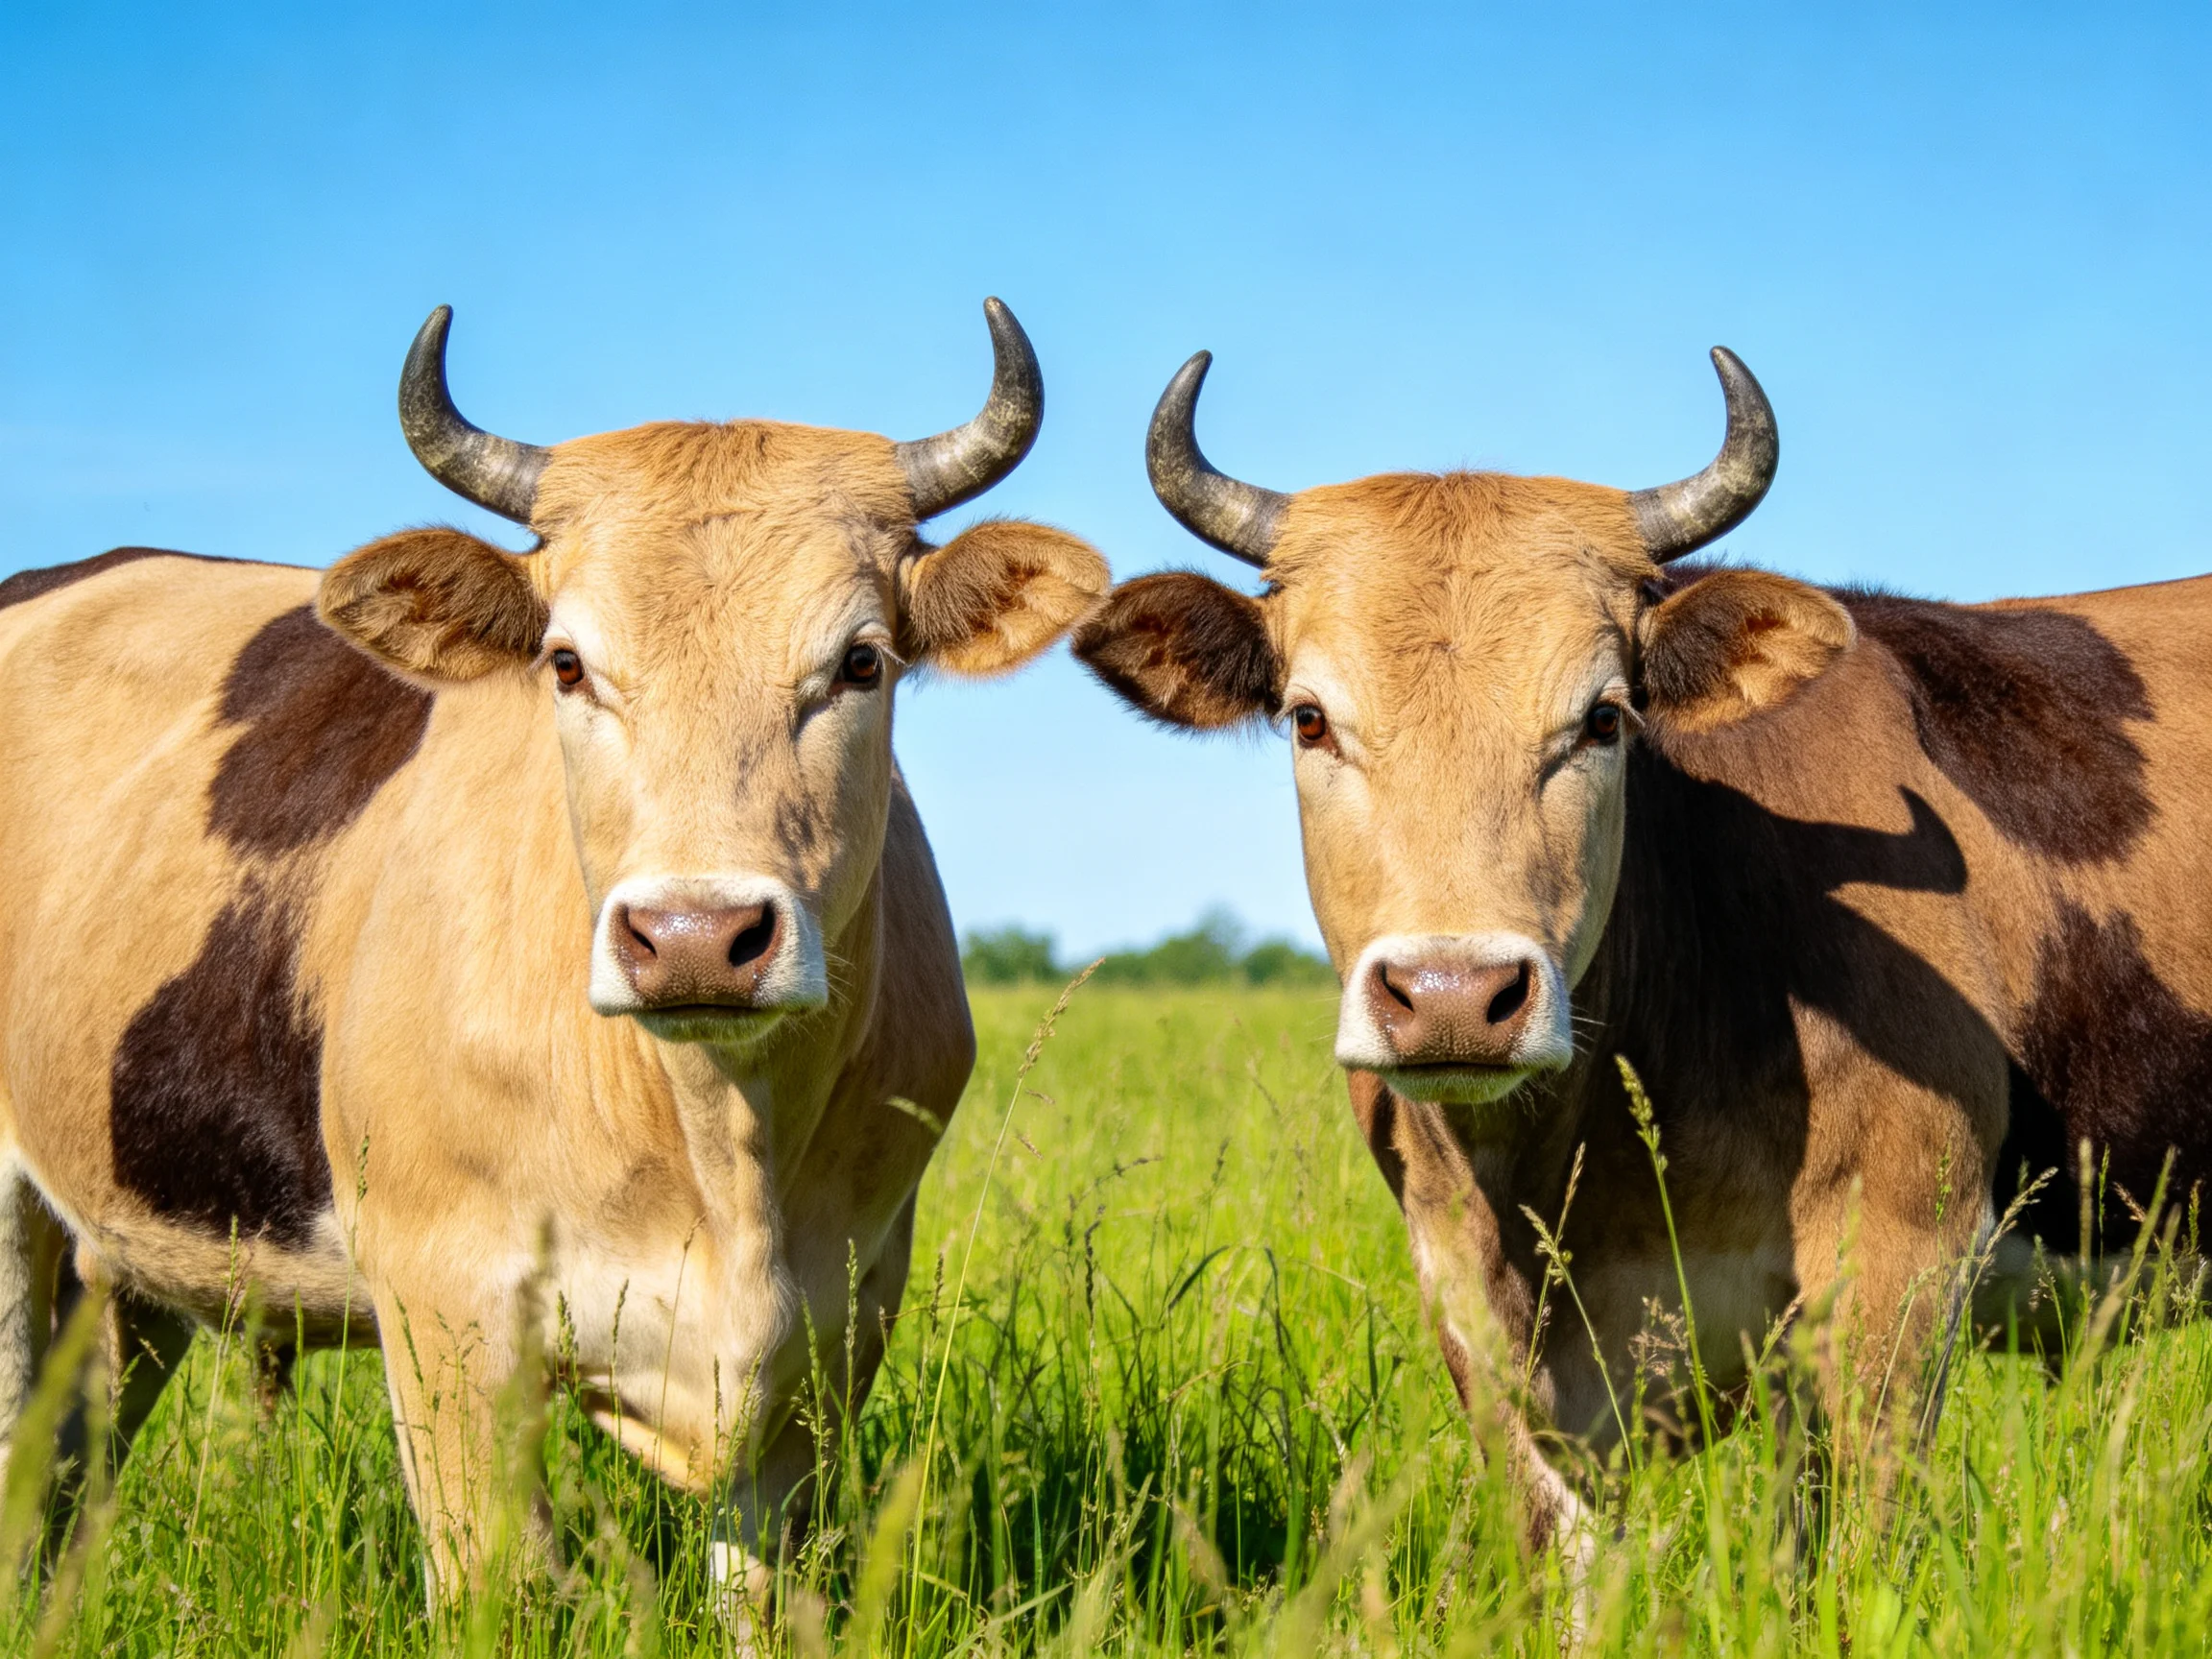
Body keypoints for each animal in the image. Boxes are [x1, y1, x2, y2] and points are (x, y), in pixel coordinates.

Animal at [0, 299, 1107, 1610]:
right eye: (567, 663)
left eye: (862, 661)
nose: (694, 939)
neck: (719, 1150)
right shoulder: (446, 1317)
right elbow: (501, 1584)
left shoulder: (835, 1335)